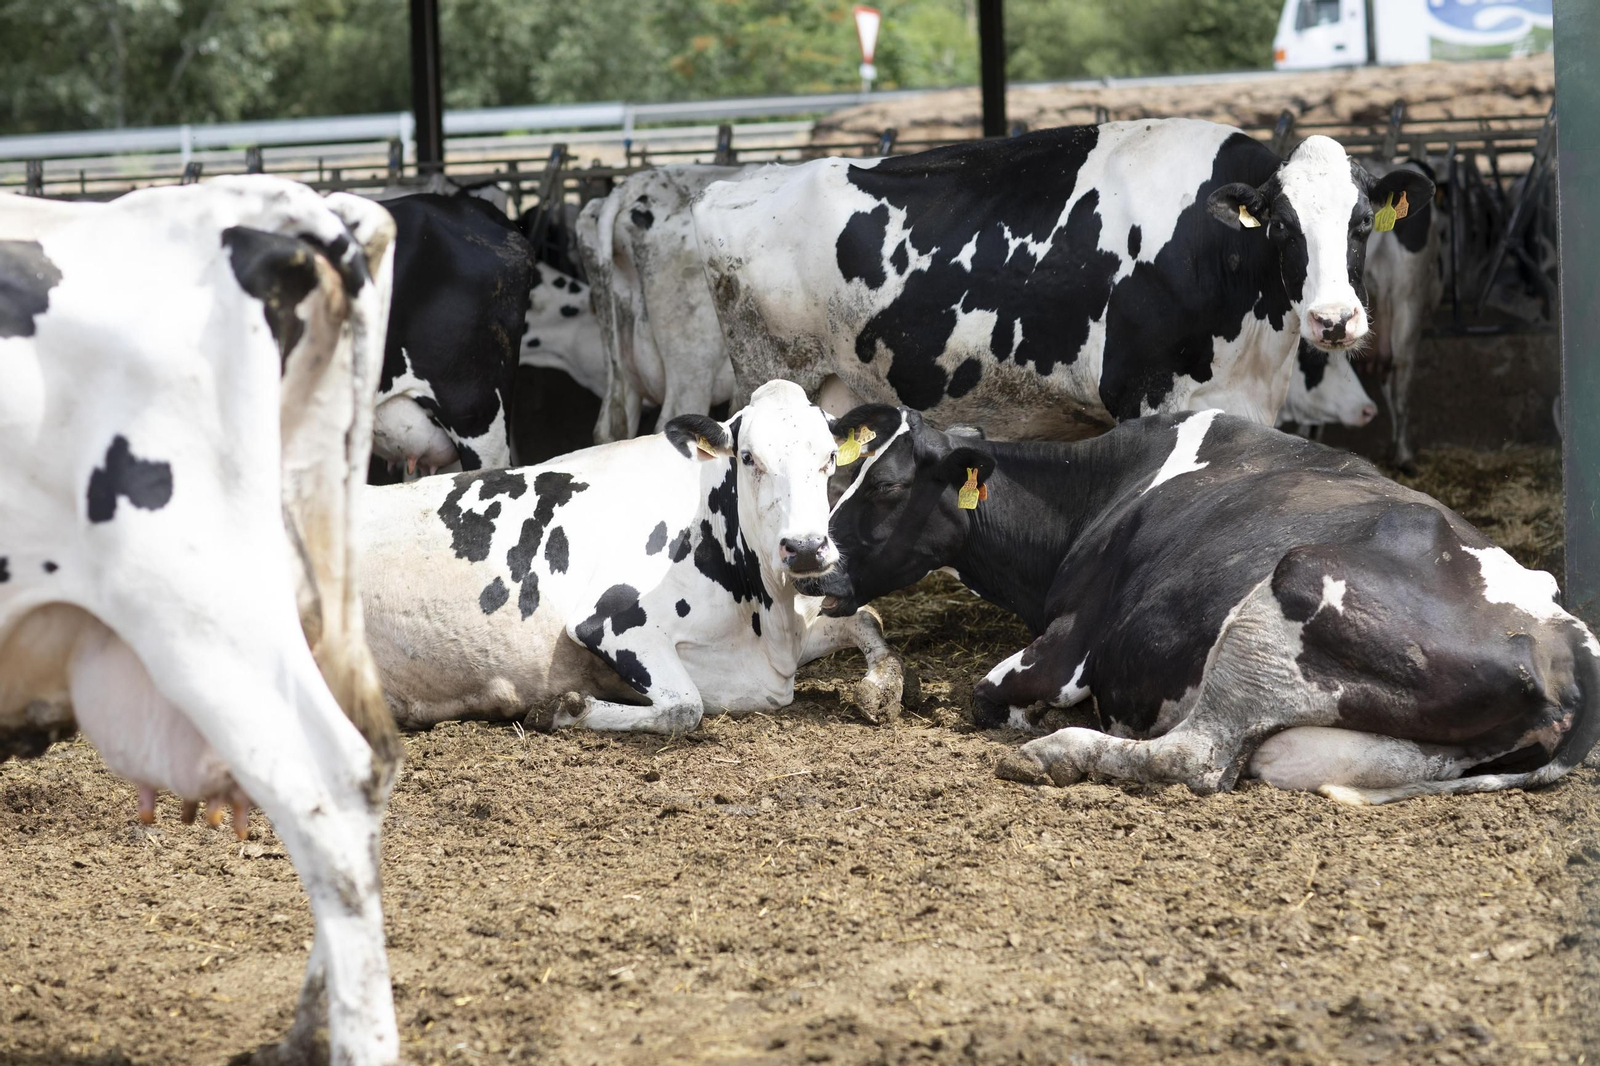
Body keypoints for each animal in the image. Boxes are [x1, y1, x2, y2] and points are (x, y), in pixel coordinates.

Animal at [357, 380, 907, 734]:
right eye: (749, 458)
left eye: (830, 458)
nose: (807, 547)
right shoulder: (610, 620)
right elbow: (686, 707)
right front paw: (566, 710)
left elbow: (870, 619)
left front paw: (880, 689)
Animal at [693, 119, 1434, 442]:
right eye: (1281, 225)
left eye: (1361, 223)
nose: (1334, 320)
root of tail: (732, 186)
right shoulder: (1143, 395)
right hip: (770, 374)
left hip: (837, 388)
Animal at [798, 403, 1598, 805]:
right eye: (835, 472)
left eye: (888, 487)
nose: (807, 561)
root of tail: (1568, 645)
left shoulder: (1065, 650)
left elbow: (987, 695)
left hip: (1289, 587)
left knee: (1199, 758)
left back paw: (1056, 753)